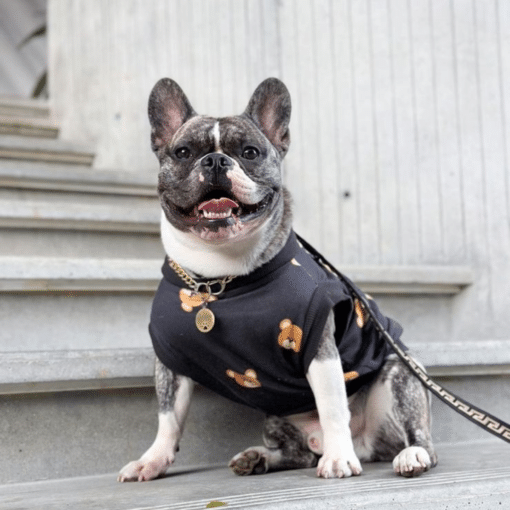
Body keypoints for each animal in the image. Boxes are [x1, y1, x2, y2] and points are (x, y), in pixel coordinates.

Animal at [117, 76, 436, 482]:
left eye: (250, 152)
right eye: (184, 152)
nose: (216, 160)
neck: (219, 280)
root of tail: (366, 445)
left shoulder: (319, 345)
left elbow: (332, 406)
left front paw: (338, 459)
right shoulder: (171, 359)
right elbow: (168, 416)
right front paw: (153, 459)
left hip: (400, 374)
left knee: (417, 435)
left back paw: (407, 455)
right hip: (276, 413)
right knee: (299, 454)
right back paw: (259, 457)